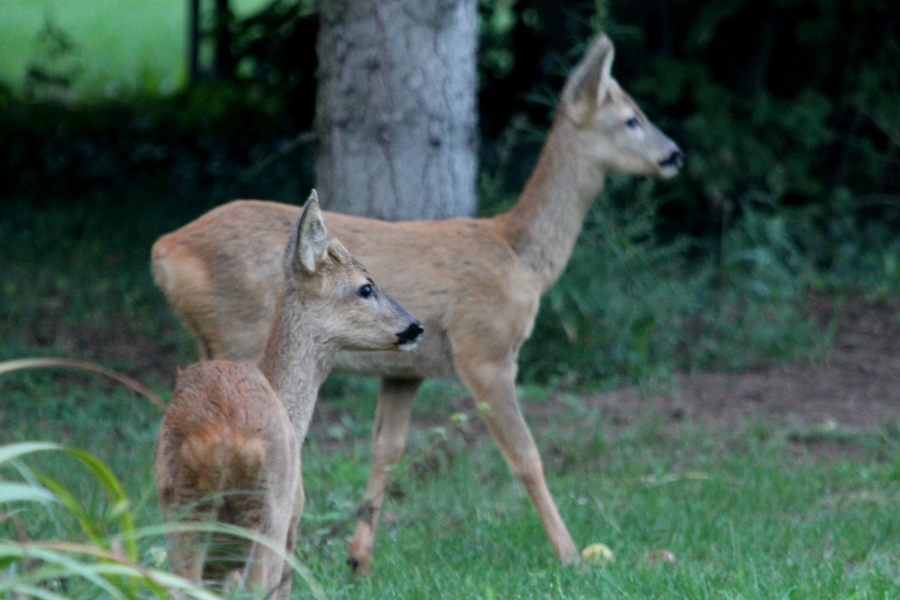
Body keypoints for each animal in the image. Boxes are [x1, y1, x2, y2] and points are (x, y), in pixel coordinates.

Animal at [153, 192, 424, 596]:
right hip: (268, 510)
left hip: (181, 508)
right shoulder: (294, 515)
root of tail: (219, 440)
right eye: (366, 287)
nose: (415, 326)